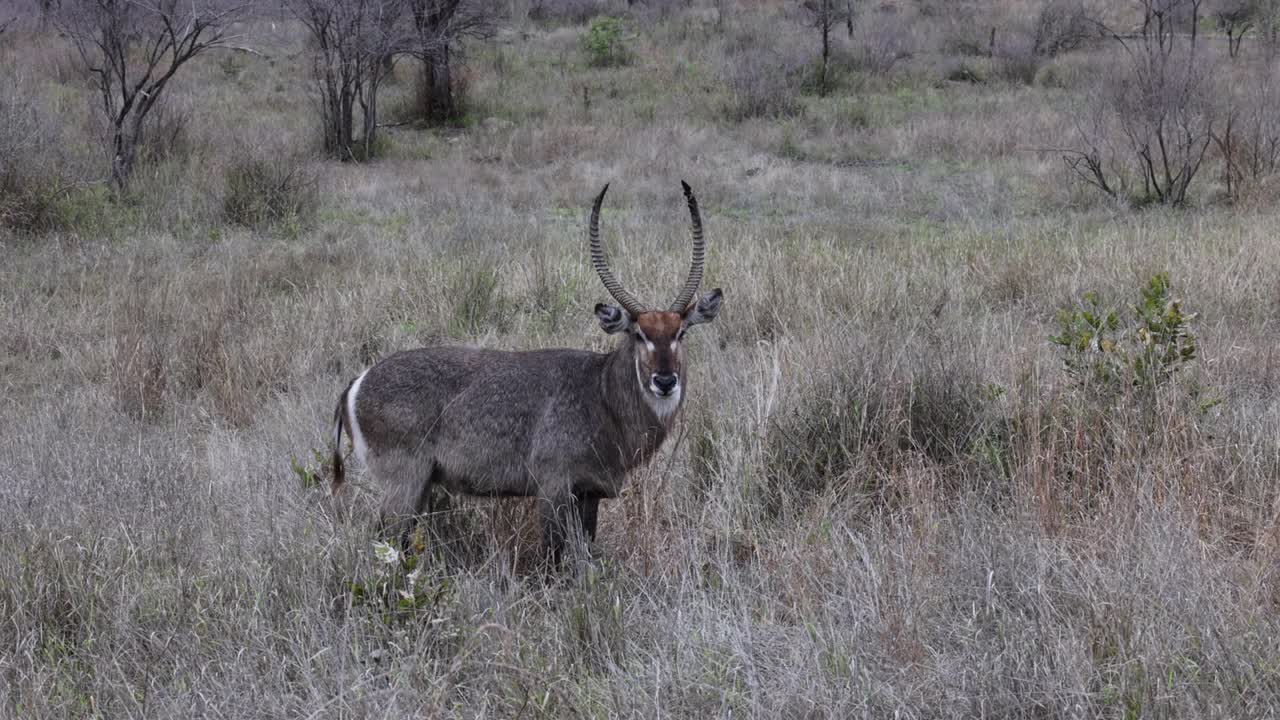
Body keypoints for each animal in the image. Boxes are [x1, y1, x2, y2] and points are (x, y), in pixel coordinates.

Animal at [330, 182, 723, 561]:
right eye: (638, 334)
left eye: (681, 333)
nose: (665, 381)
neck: (602, 395)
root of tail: (356, 382)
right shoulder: (553, 488)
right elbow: (552, 556)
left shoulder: (590, 492)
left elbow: (585, 555)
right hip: (404, 481)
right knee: (384, 539)